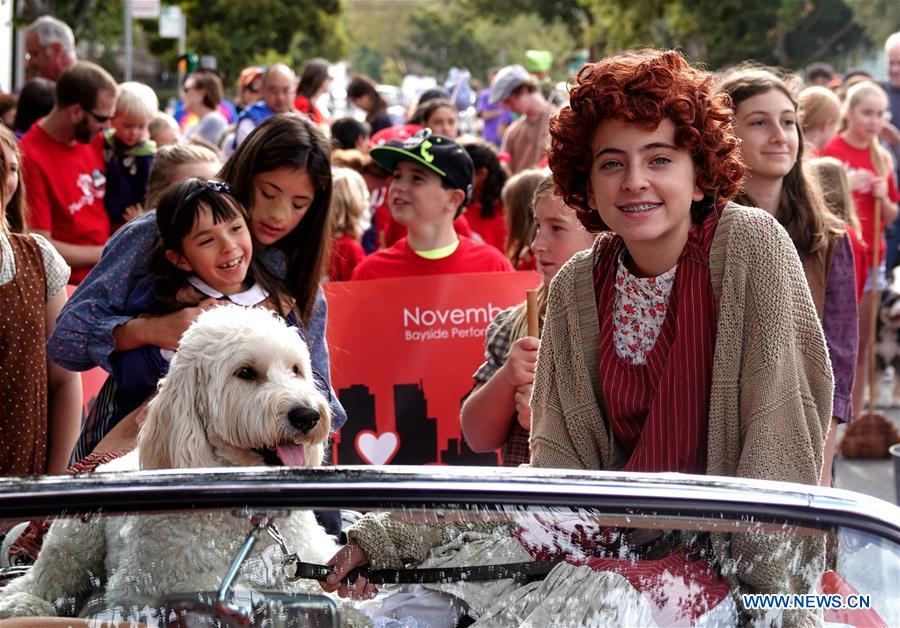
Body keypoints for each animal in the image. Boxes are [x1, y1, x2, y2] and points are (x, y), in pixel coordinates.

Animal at [0, 306, 342, 624]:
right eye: (245, 372)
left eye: (296, 370)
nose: (307, 415)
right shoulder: (142, 587)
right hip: (73, 542)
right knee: (40, 583)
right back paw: (23, 605)